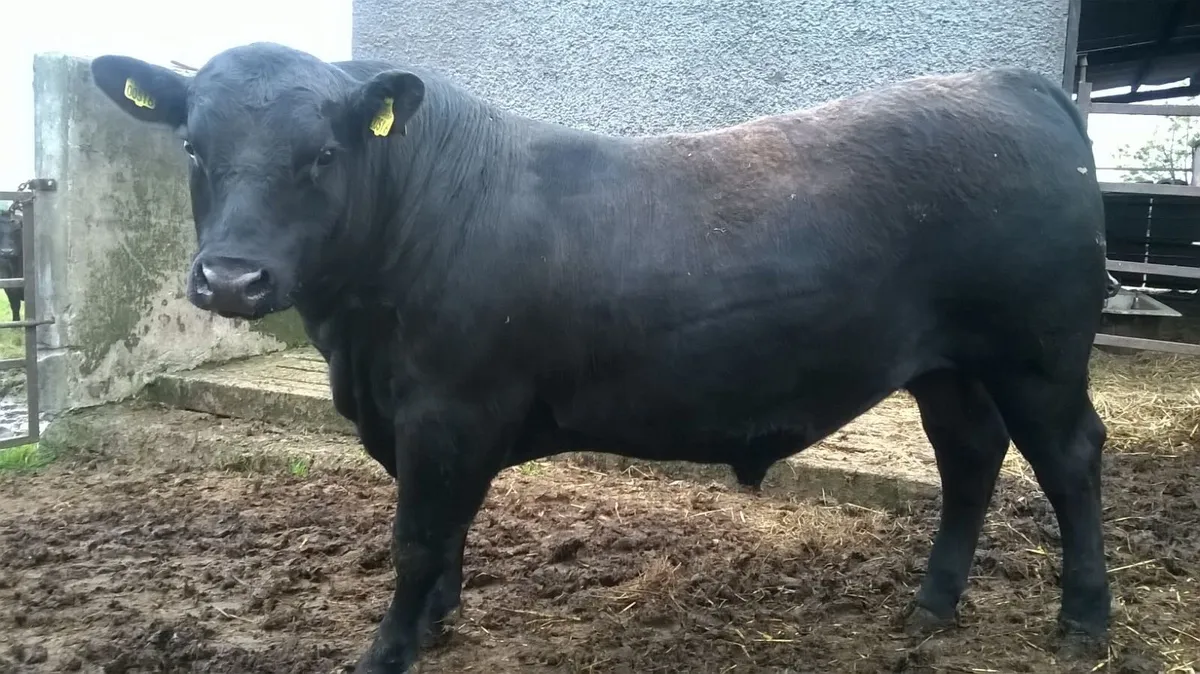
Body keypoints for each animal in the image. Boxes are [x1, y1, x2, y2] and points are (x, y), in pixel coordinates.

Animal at [90, 43, 1113, 673]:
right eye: (192, 146)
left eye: (323, 154)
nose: (231, 278)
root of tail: (1007, 83)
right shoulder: (424, 419)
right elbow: (445, 532)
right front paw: (436, 621)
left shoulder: (447, 409)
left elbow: (417, 535)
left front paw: (388, 649)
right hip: (948, 366)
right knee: (970, 457)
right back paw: (932, 606)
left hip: (1038, 354)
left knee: (1069, 460)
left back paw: (1084, 621)